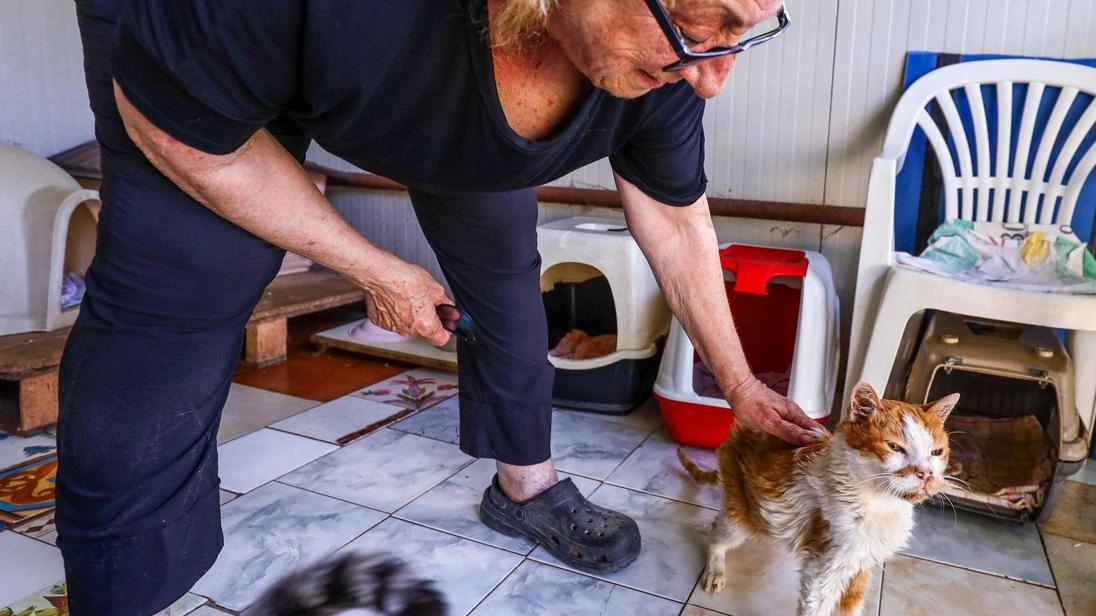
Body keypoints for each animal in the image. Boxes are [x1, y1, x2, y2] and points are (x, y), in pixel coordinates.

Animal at [675, 379, 960, 613]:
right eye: (894, 447)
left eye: (936, 452)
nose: (926, 473)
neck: (881, 503)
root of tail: (739, 429)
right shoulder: (823, 569)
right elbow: (817, 606)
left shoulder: (862, 566)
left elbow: (850, 608)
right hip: (743, 515)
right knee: (717, 532)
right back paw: (715, 570)